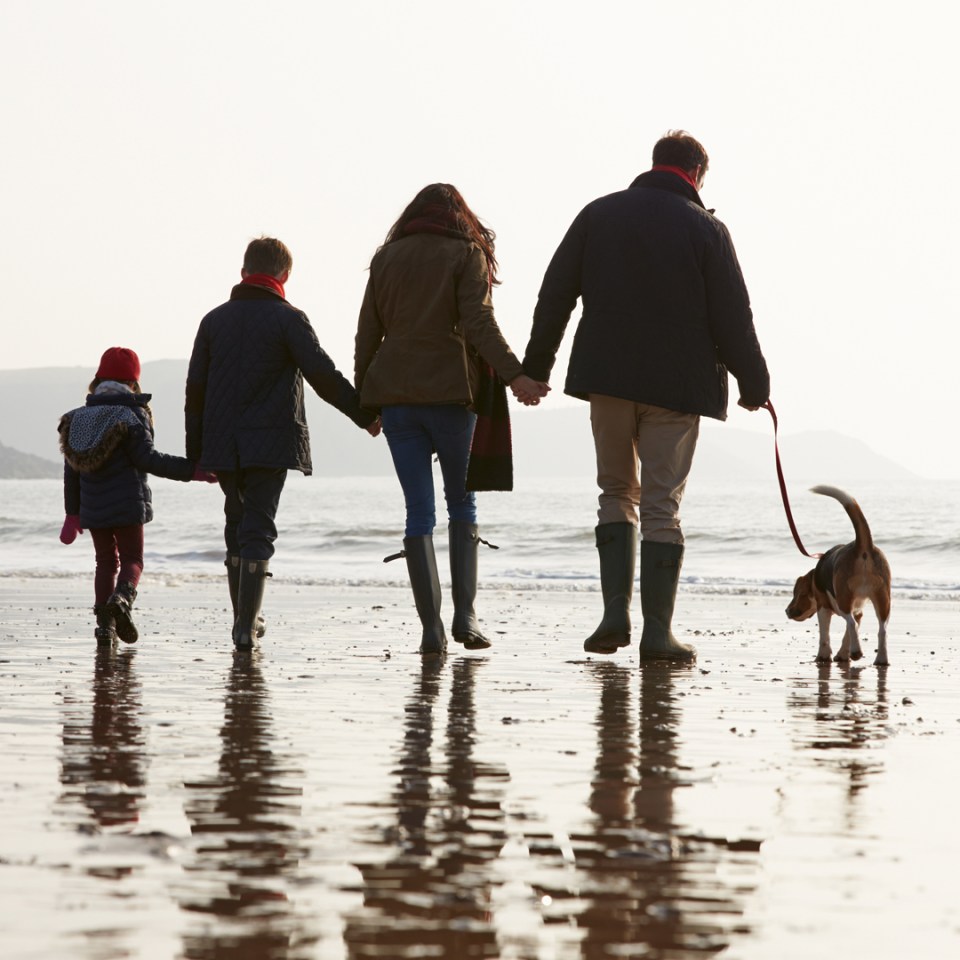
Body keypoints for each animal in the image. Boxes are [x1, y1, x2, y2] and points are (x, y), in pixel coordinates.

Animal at [788, 488, 892, 668]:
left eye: (799, 594)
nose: (787, 611)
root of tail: (862, 546)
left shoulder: (823, 606)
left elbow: (825, 636)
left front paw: (823, 656)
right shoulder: (858, 611)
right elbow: (849, 634)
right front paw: (843, 654)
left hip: (844, 599)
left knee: (850, 622)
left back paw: (857, 652)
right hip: (882, 599)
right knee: (881, 630)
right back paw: (880, 659)